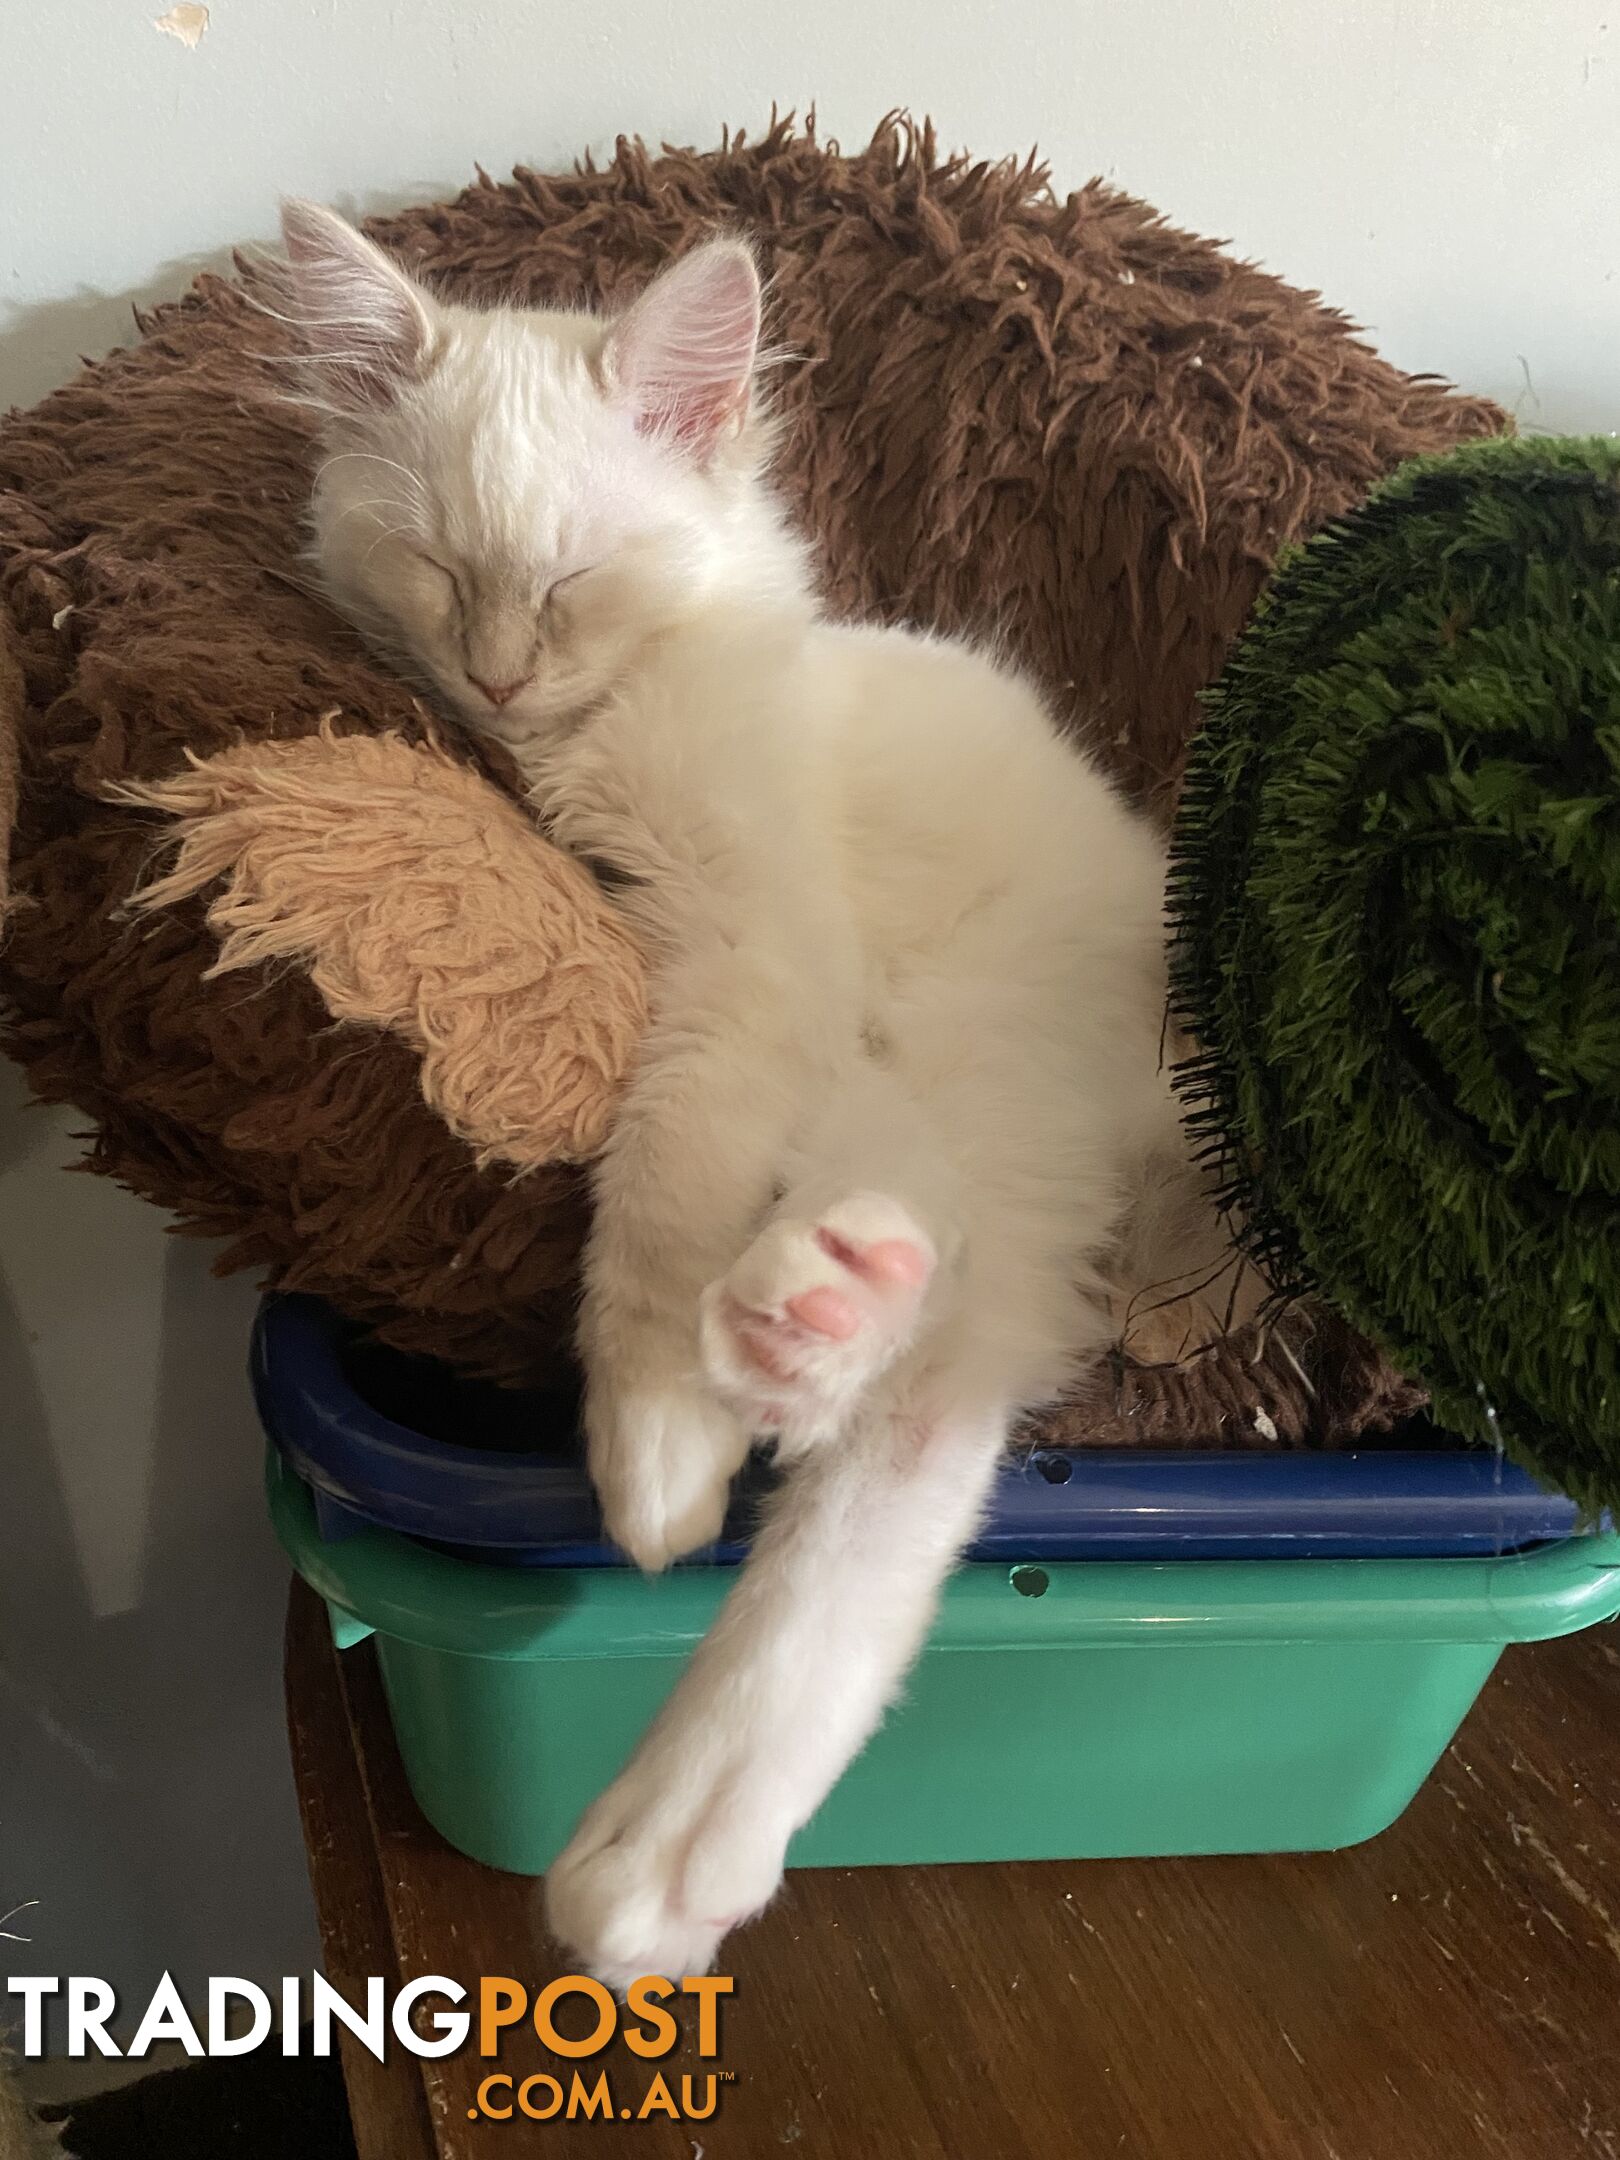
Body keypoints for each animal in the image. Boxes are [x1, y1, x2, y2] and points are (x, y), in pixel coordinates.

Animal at [282, 206, 1252, 1987]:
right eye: (439, 573)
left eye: (569, 582)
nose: (496, 682)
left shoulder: (750, 964)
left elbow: (654, 1209)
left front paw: (656, 1452)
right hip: (939, 1134)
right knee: (915, 1411)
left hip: (944, 1074)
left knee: (914, 1401)